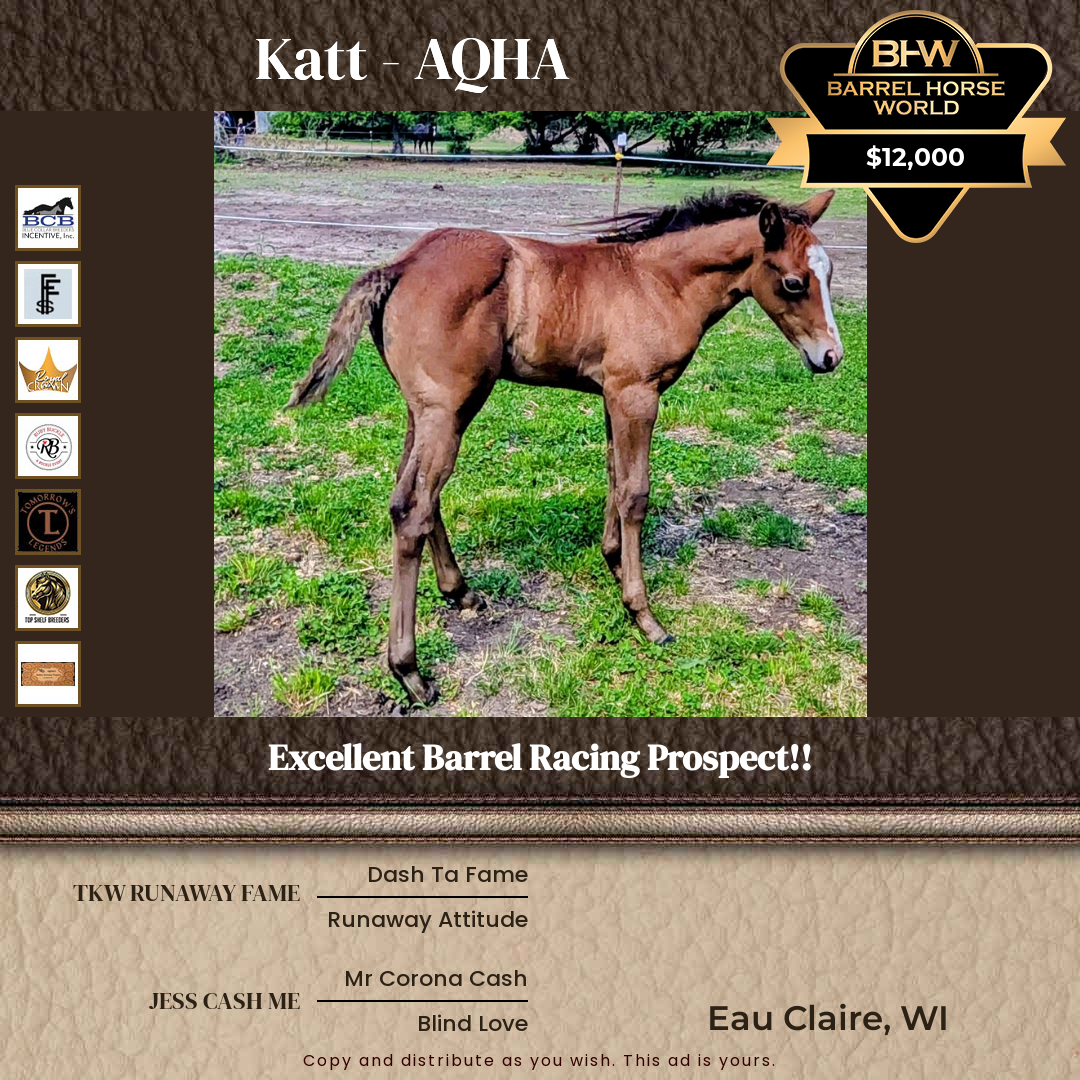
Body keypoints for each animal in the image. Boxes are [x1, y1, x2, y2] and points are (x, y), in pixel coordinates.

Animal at [287, 188, 843, 707]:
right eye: (794, 283)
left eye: (831, 275)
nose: (831, 357)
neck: (658, 283)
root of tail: (399, 266)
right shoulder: (637, 395)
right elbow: (635, 494)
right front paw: (644, 616)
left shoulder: (613, 396)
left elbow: (614, 477)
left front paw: (613, 562)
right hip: (447, 410)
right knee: (412, 510)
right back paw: (410, 672)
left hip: (425, 411)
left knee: (414, 498)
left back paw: (460, 593)